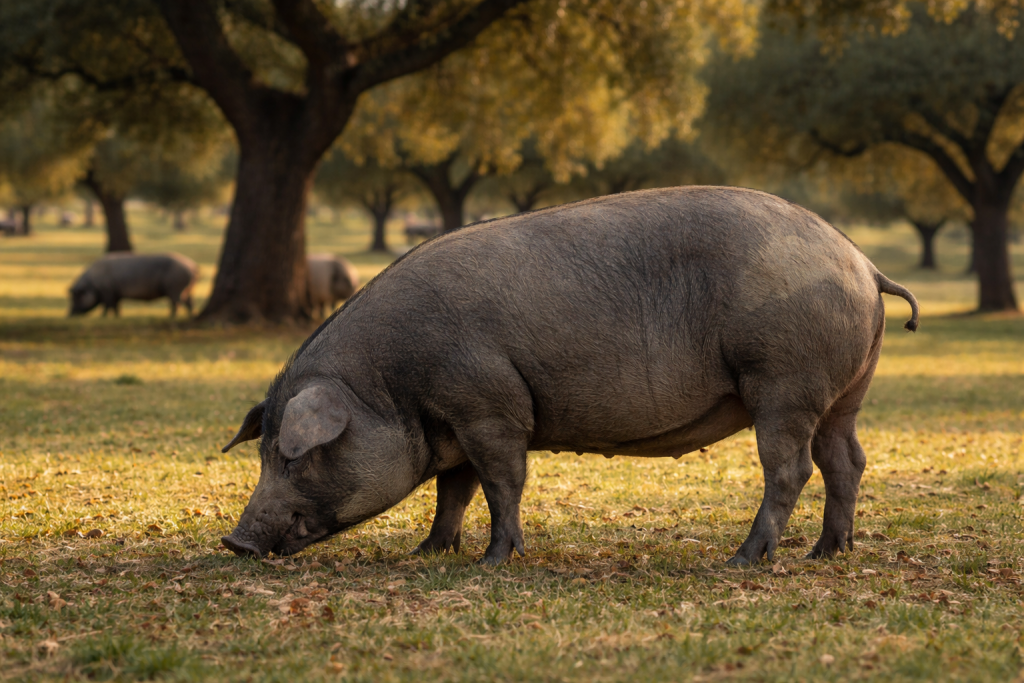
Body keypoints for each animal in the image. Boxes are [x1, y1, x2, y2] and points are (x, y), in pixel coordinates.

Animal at [69, 252, 198, 318]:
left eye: (77, 296)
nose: (70, 315)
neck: (92, 283)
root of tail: (193, 266)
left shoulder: (107, 291)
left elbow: (107, 305)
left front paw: (102, 317)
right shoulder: (115, 293)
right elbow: (115, 306)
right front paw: (117, 317)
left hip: (175, 288)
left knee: (177, 303)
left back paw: (172, 317)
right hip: (187, 289)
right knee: (189, 303)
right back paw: (189, 316)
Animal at [220, 186, 919, 567]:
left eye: (293, 457)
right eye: (262, 451)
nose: (235, 542)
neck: (391, 383)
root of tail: (863, 263)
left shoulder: (489, 406)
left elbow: (502, 484)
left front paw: (493, 561)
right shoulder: (455, 422)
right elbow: (453, 490)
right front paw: (427, 554)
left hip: (784, 381)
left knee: (791, 467)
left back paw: (745, 559)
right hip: (845, 392)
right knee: (846, 460)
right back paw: (828, 552)